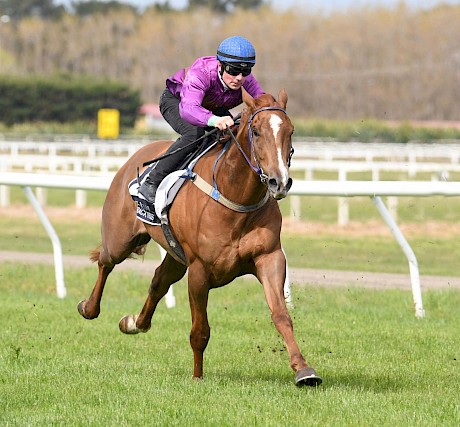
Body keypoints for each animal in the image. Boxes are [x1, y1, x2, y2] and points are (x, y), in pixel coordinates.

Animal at [77, 88, 322, 386]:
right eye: (256, 131)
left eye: (290, 130)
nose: (280, 182)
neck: (234, 196)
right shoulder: (199, 270)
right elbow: (200, 331)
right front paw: (197, 377)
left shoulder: (269, 257)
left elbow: (281, 315)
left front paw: (304, 370)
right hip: (120, 239)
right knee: (106, 262)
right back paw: (88, 308)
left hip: (175, 255)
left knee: (158, 281)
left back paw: (134, 322)